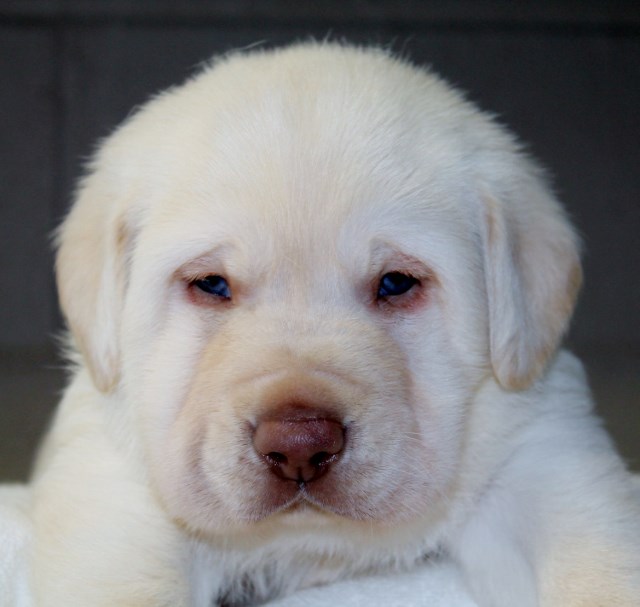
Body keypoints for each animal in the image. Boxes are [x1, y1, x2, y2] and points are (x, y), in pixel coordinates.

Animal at [21, 42, 640, 607]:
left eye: (395, 283)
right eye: (212, 284)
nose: (299, 445)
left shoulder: (543, 457)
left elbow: (600, 564)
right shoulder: (116, 493)